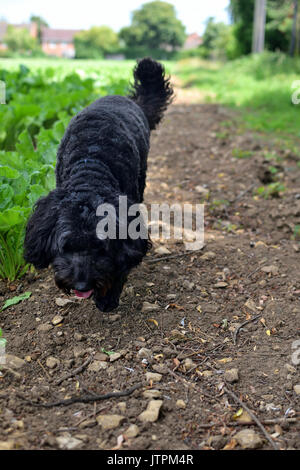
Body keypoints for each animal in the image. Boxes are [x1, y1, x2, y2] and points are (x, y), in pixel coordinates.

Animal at [24, 57, 173, 312]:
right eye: (66, 247)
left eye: (100, 248)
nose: (82, 285)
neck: (90, 165)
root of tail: (125, 99)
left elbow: (121, 261)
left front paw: (107, 298)